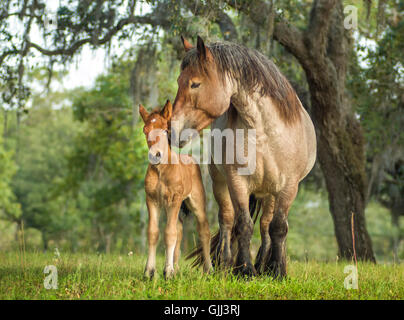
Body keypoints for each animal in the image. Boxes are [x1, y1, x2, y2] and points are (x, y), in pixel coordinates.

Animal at [140, 100, 211, 278]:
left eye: (166, 130)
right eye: (145, 130)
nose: (155, 155)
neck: (162, 171)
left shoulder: (175, 200)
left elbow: (169, 233)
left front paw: (168, 272)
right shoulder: (152, 200)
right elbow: (153, 233)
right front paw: (149, 271)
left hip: (196, 202)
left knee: (203, 230)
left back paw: (208, 269)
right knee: (179, 230)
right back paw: (177, 267)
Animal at [170, 37, 316, 278]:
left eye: (195, 84)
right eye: (178, 81)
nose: (171, 131)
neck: (265, 132)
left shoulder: (288, 187)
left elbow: (279, 227)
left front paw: (277, 270)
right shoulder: (237, 182)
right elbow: (243, 224)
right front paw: (245, 269)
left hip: (270, 193)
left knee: (266, 225)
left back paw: (264, 265)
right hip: (221, 183)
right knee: (227, 219)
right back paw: (224, 263)